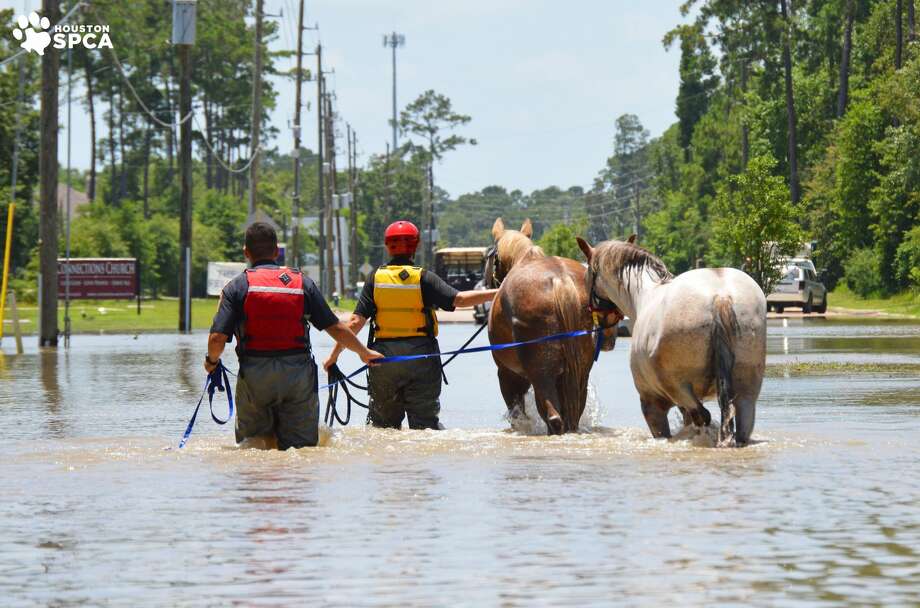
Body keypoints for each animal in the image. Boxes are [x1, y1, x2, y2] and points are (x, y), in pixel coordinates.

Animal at [485, 218, 619, 435]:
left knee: (553, 417)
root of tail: (560, 280)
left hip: (540, 376)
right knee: (572, 414)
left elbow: (516, 415)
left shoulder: (509, 375)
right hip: (579, 372)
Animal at [576, 235, 767, 446]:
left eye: (586, 279)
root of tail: (721, 297)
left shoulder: (652, 403)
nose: (604, 338)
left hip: (678, 389)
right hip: (746, 393)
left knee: (703, 416)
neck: (643, 296)